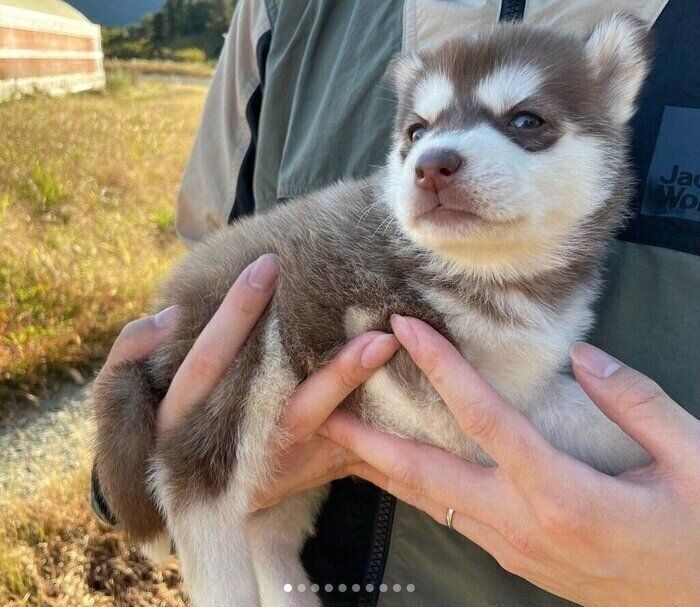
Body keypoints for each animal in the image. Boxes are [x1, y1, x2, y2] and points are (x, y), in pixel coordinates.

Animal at [93, 13, 652, 607]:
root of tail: (172, 301)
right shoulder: (419, 376)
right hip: (248, 359)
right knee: (195, 491)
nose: (432, 164)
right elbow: (568, 416)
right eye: (417, 132)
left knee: (267, 534)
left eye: (526, 119)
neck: (490, 273)